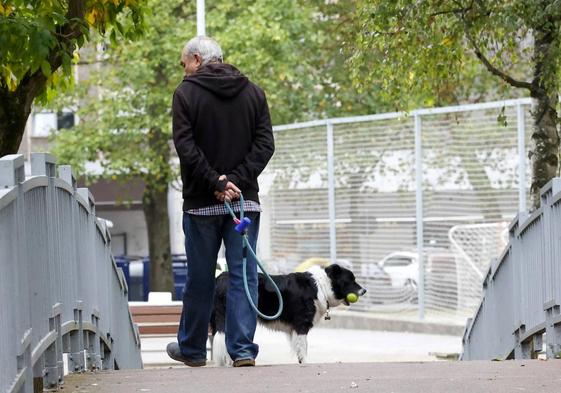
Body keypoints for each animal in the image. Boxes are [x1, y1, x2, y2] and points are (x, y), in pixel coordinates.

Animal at [210, 264, 368, 364]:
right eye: (350, 280)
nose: (364, 290)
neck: (322, 287)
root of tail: (220, 279)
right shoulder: (301, 324)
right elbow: (303, 347)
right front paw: (305, 363)